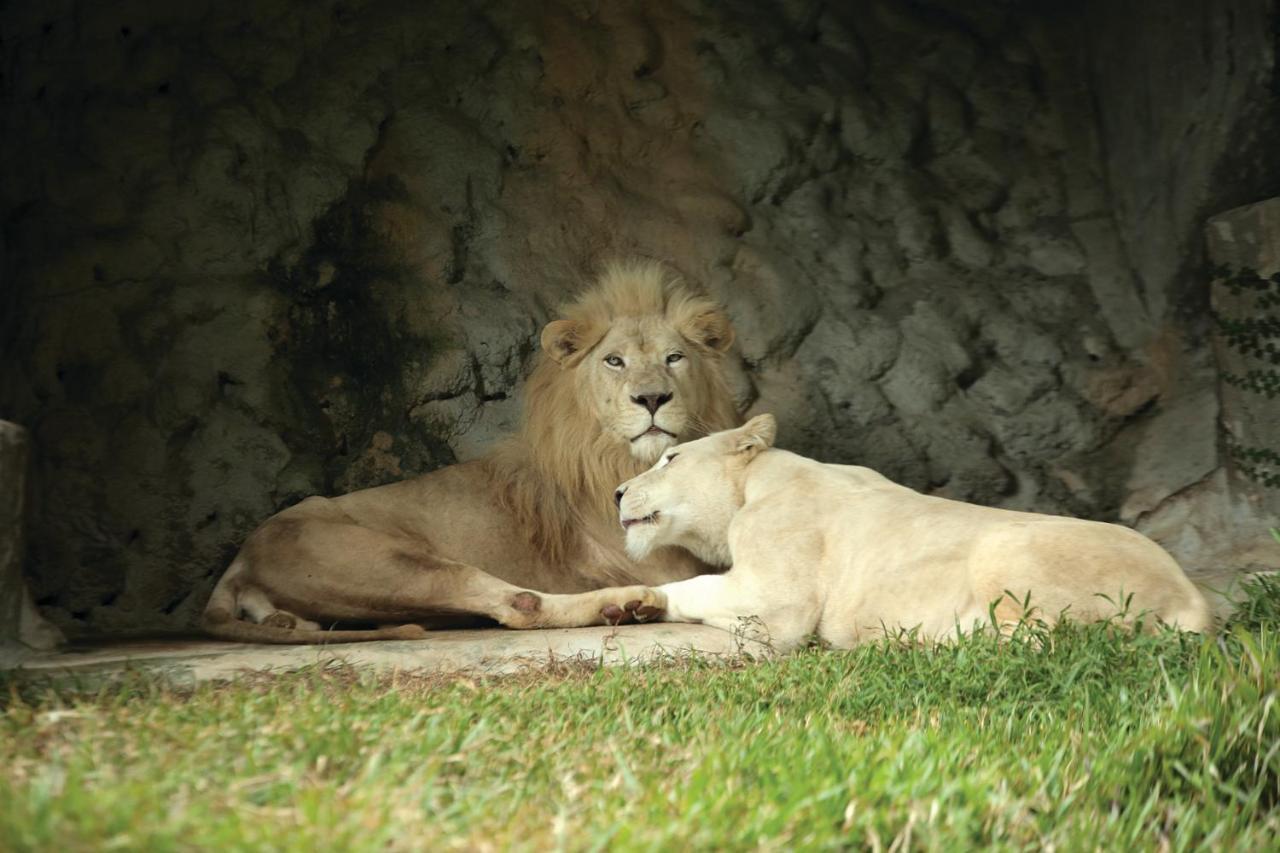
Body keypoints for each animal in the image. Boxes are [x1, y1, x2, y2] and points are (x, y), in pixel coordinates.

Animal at [199, 258, 742, 637]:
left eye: (674, 358)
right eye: (614, 361)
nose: (651, 398)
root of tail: (242, 556)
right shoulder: (662, 561)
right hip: (390, 561)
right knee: (520, 606)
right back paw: (627, 604)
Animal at [606, 412, 1208, 645]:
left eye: (671, 458)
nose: (616, 492)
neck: (754, 484)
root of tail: (1192, 597)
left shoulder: (781, 589)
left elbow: (711, 591)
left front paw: (640, 602)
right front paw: (631, 607)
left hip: (1008, 544)